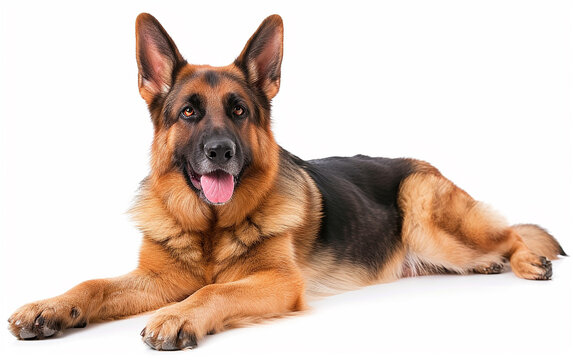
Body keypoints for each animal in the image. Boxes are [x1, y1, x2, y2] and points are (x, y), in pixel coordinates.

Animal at [7, 13, 564, 348]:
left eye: (239, 111)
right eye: (189, 112)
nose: (220, 152)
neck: (210, 230)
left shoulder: (278, 281)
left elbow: (213, 292)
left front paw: (179, 315)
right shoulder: (160, 278)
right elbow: (94, 283)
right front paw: (49, 308)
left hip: (430, 218)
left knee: (512, 234)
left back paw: (527, 261)